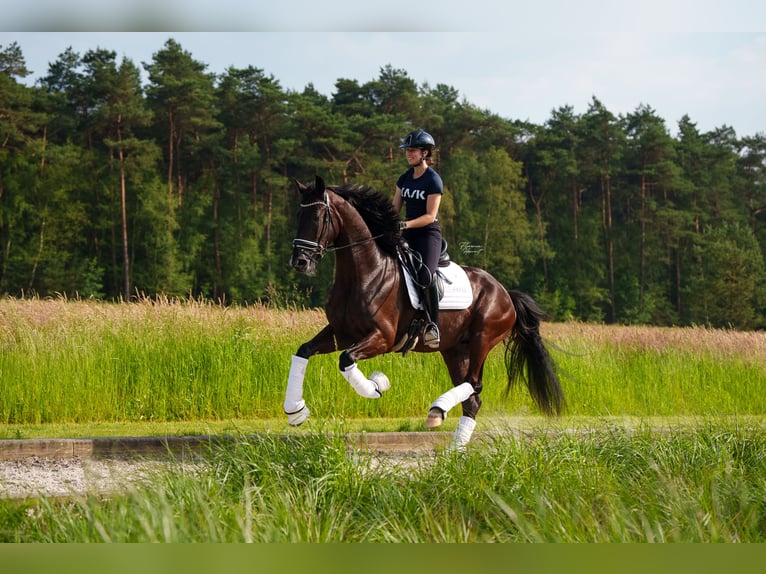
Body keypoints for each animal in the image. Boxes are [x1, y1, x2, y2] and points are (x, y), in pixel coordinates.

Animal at [282, 174, 564, 450]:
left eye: (318, 217)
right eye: (298, 215)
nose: (299, 262)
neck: (363, 274)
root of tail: (505, 293)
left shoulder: (383, 338)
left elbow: (346, 359)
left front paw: (377, 385)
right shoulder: (341, 333)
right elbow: (304, 350)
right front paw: (296, 410)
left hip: (482, 339)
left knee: (474, 383)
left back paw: (439, 409)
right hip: (455, 350)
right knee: (472, 399)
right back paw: (453, 447)